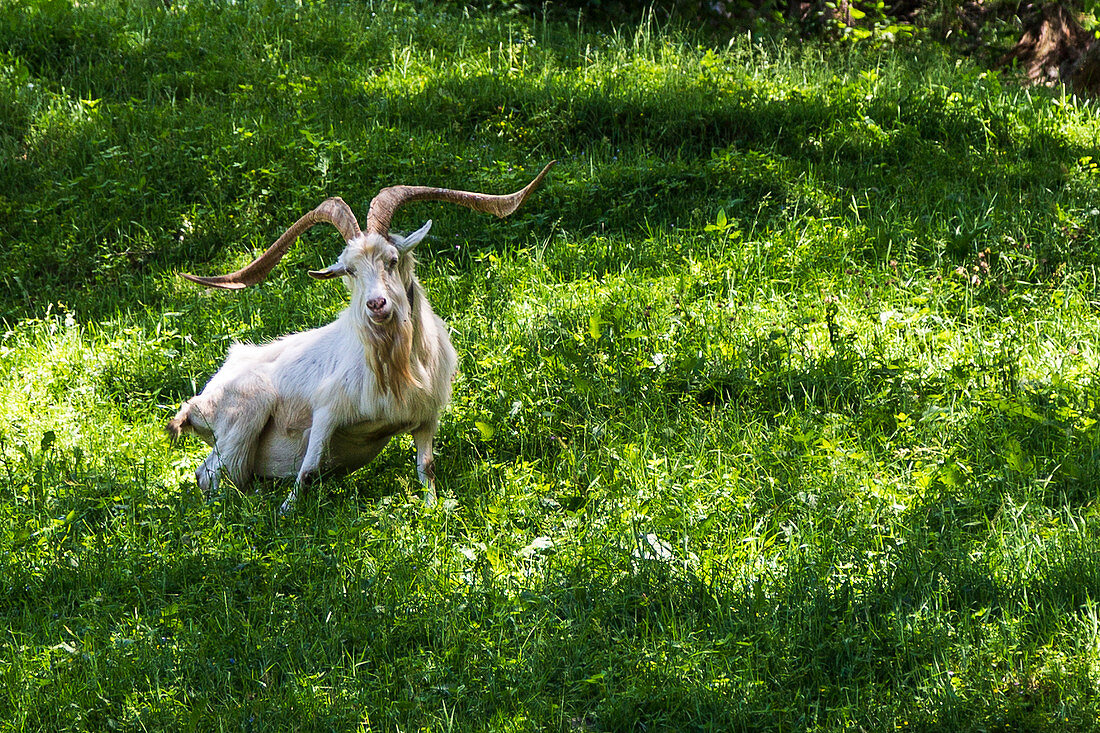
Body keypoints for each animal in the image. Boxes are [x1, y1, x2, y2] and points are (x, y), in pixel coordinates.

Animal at [167, 162, 554, 510]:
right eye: (350, 270)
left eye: (393, 259)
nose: (376, 304)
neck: (395, 368)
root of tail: (197, 402)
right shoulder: (326, 412)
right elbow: (307, 471)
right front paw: (286, 512)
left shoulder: (427, 417)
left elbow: (426, 468)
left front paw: (433, 509)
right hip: (246, 413)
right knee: (210, 477)